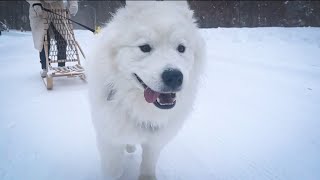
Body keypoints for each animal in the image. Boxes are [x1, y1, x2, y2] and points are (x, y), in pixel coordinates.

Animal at [87, 0, 205, 179]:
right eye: (144, 47)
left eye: (181, 48)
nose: (174, 76)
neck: (138, 108)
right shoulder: (110, 141)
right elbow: (114, 171)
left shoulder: (154, 143)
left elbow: (148, 166)